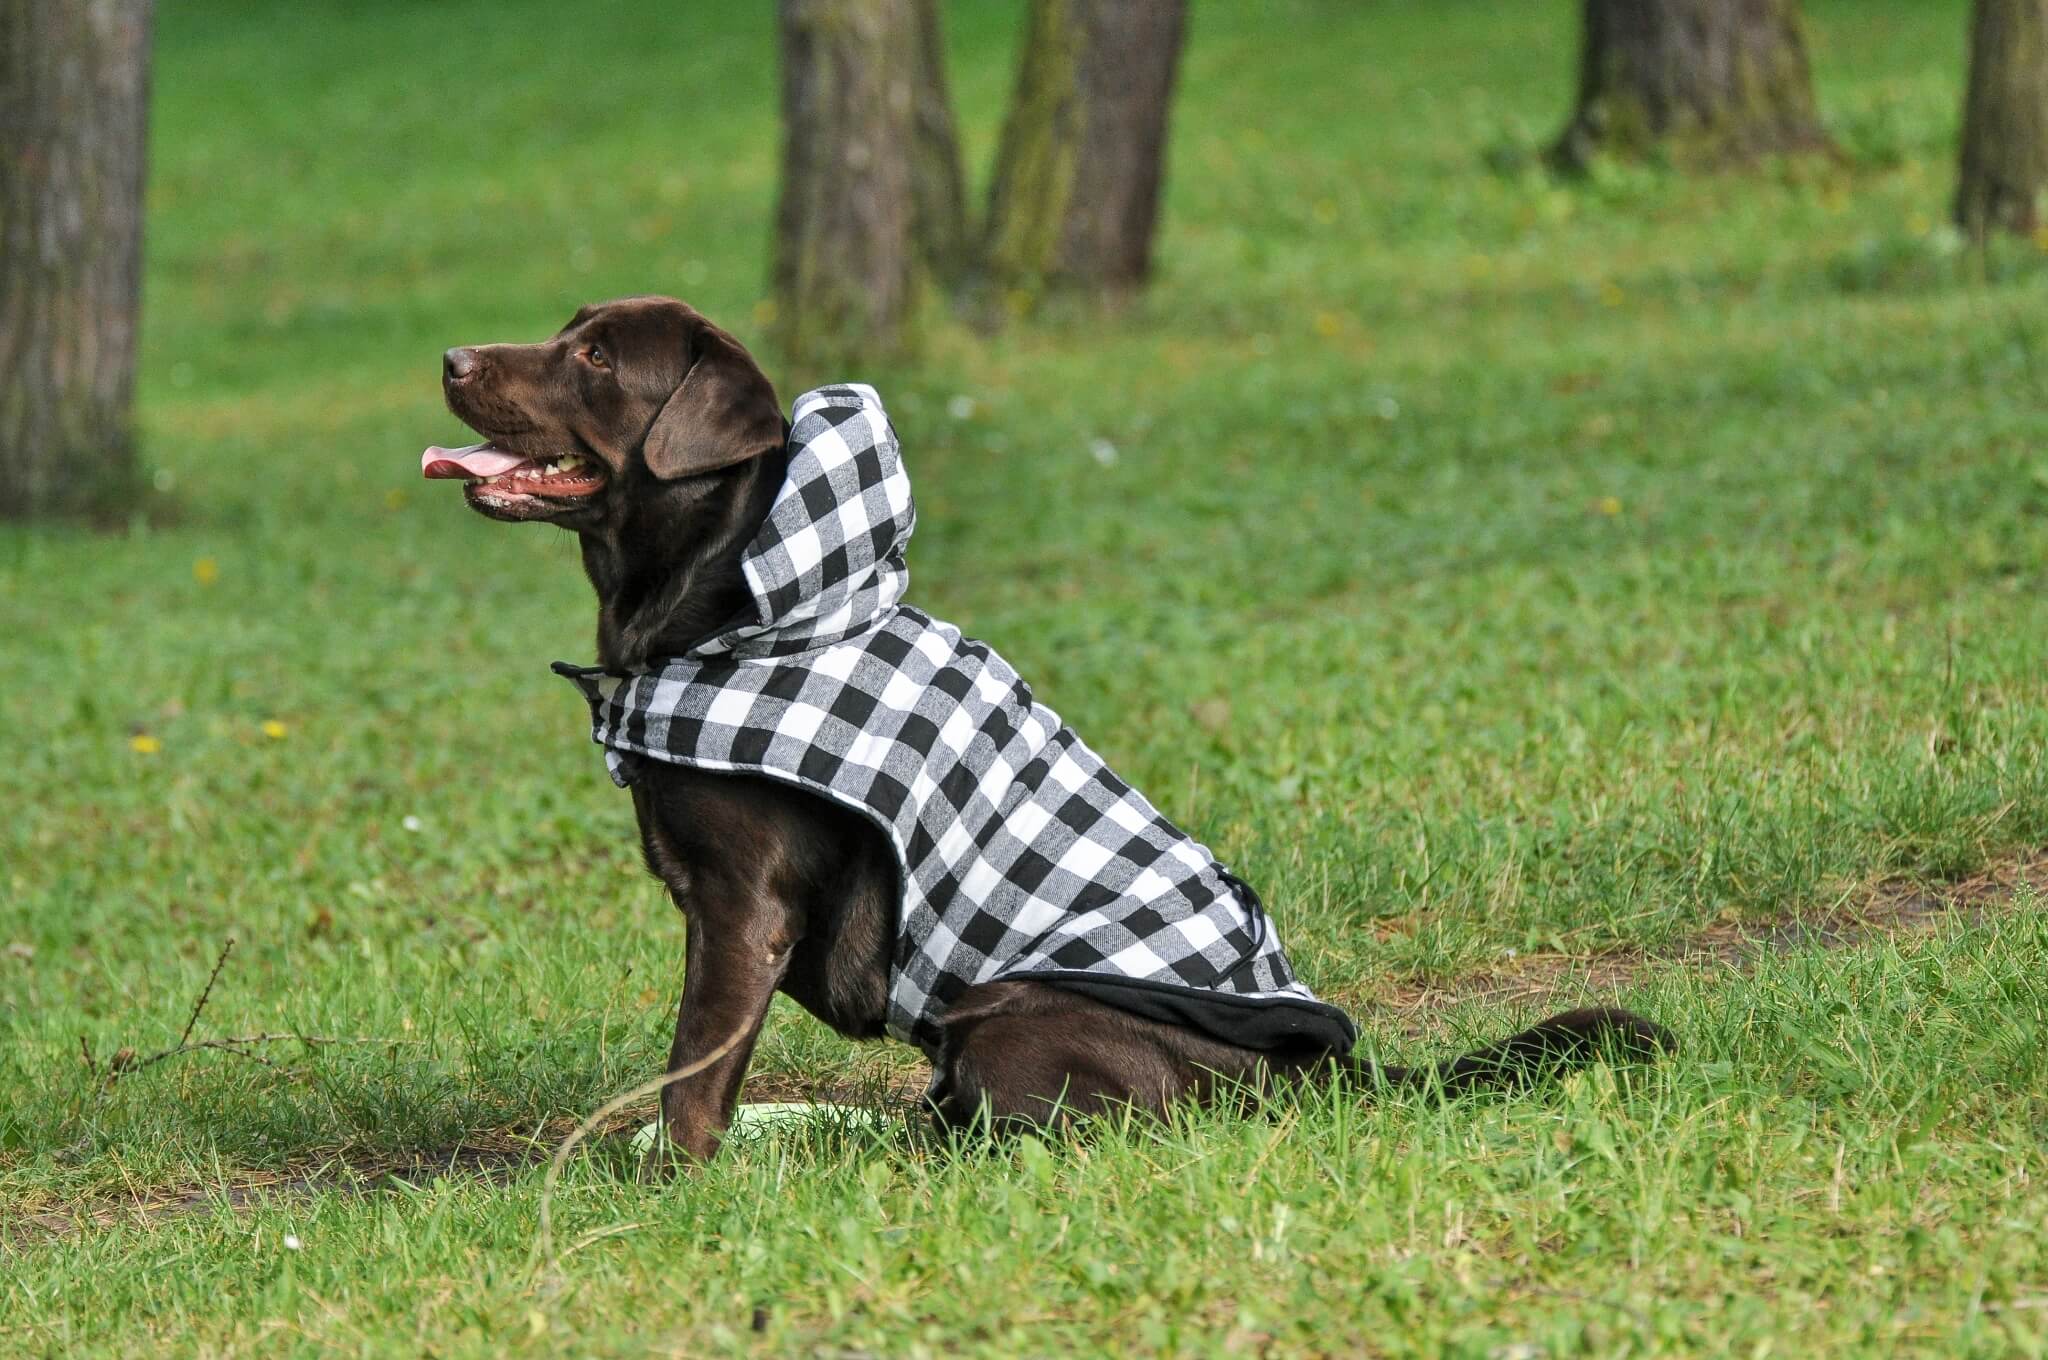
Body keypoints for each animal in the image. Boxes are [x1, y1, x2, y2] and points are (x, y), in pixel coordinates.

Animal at [423, 303, 1671, 1163]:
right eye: (564, 331)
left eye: (595, 360)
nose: (451, 359)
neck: (745, 609)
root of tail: (1319, 1074)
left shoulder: (743, 910)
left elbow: (692, 1076)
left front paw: (673, 1188)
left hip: (1004, 1012)